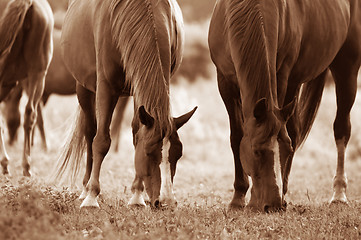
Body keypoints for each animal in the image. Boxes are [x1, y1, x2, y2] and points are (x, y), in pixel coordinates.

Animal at [55, 0, 197, 208]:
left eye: (178, 154)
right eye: (149, 153)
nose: (166, 202)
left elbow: (137, 134)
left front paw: (137, 196)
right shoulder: (106, 88)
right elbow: (101, 141)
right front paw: (91, 197)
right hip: (84, 88)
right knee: (89, 133)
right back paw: (85, 189)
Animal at [208, 0, 360, 212]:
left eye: (286, 151)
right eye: (256, 151)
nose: (273, 205)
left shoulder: (282, 76)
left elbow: (288, 133)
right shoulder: (224, 82)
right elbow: (237, 137)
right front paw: (237, 198)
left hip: (346, 69)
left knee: (341, 129)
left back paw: (338, 194)